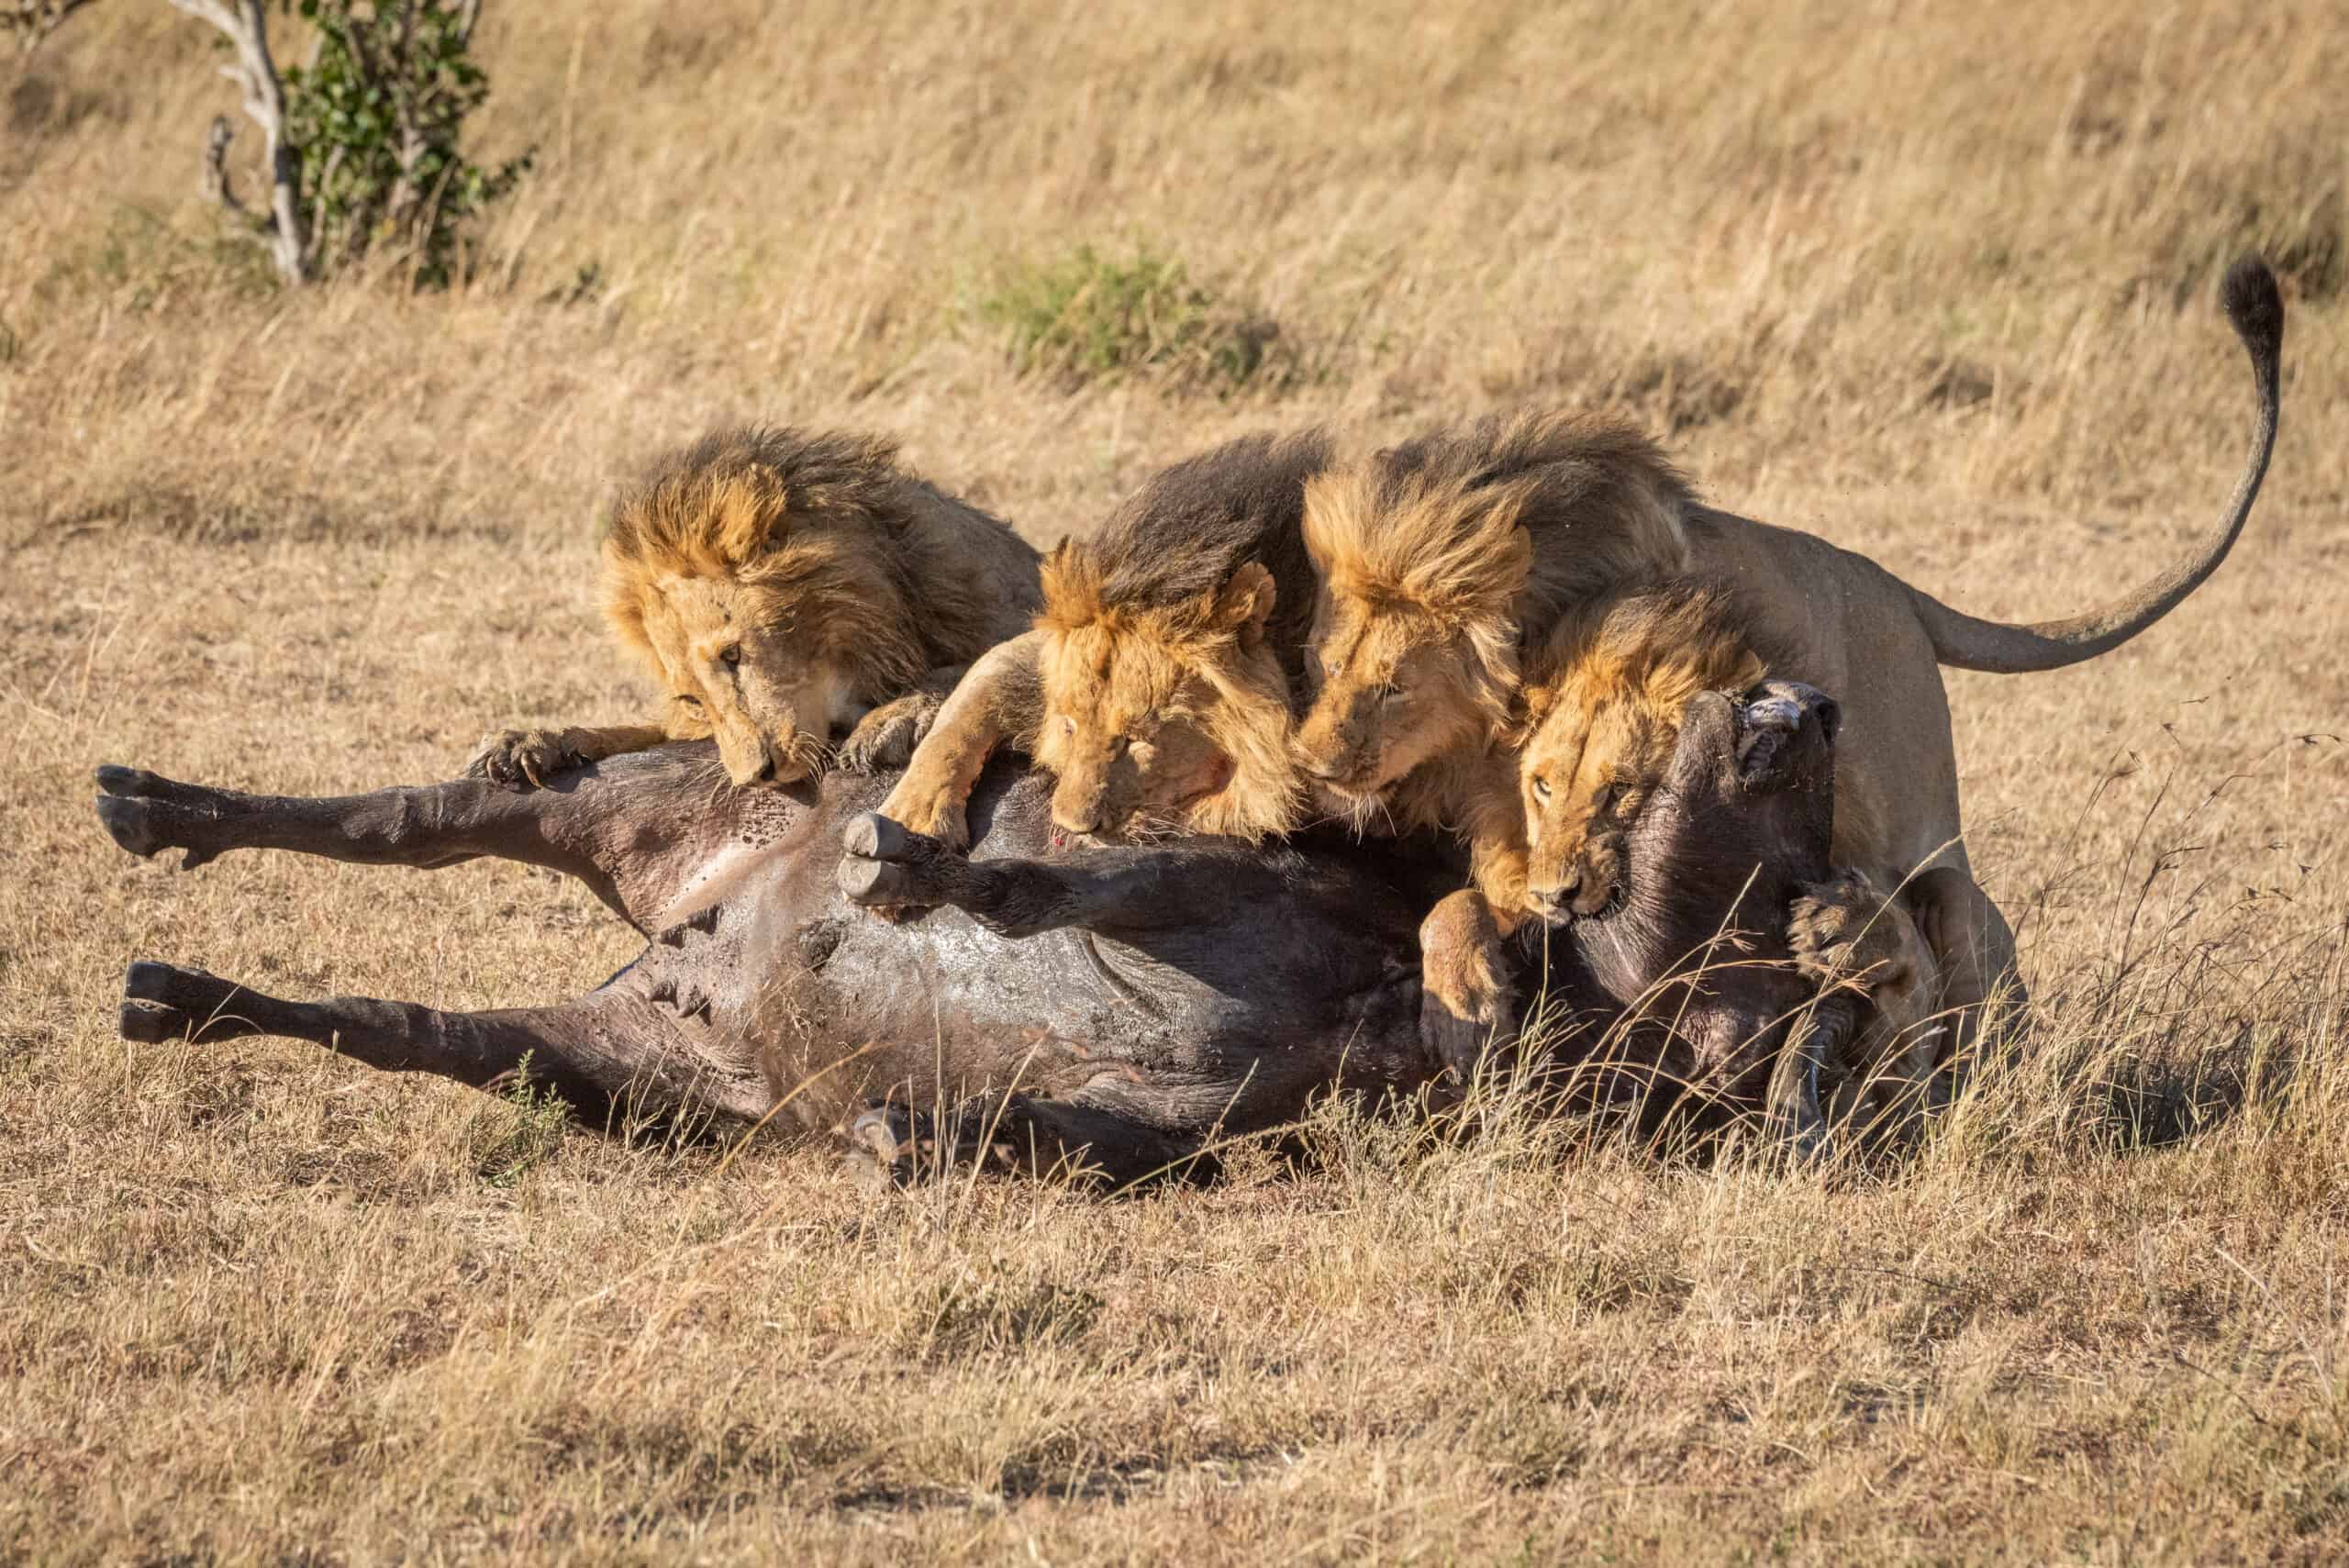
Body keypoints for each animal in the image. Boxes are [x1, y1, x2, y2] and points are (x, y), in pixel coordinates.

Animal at [470, 425, 1041, 791]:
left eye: (734, 656)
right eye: (692, 700)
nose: (757, 779)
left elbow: (980, 666)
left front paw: (892, 718)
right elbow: (632, 732)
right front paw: (532, 741)